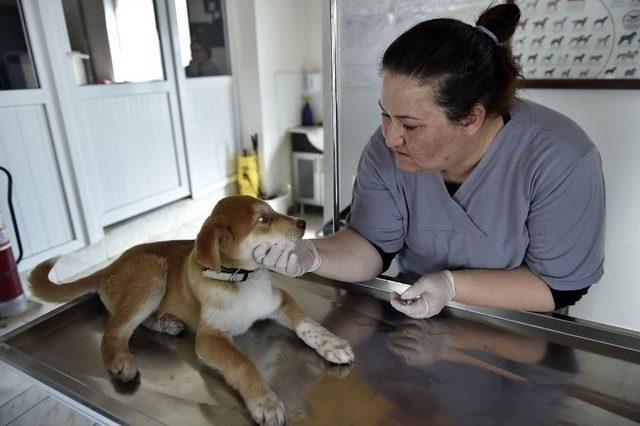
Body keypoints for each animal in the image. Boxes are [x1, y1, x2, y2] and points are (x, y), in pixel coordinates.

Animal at [28, 195, 356, 424]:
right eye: (263, 218)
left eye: (272, 210)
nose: (303, 224)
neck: (240, 279)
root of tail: (111, 266)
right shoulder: (210, 338)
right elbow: (242, 362)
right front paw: (263, 401)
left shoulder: (279, 299)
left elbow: (307, 323)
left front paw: (331, 344)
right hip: (152, 272)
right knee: (114, 330)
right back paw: (121, 360)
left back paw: (167, 324)